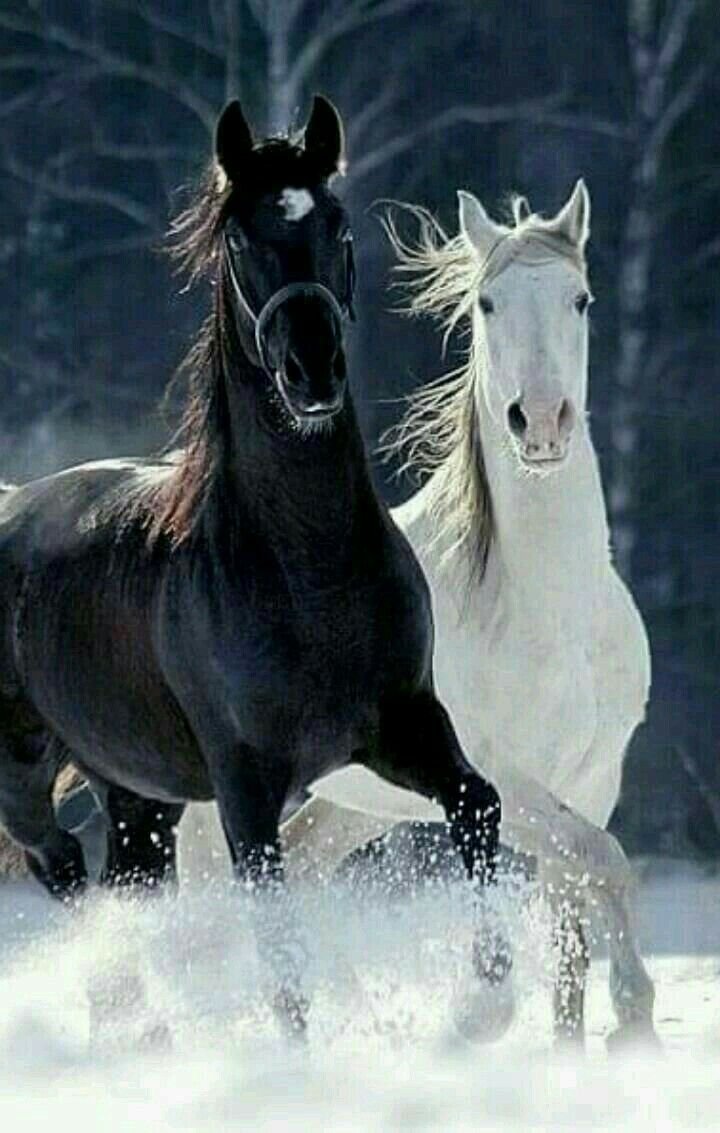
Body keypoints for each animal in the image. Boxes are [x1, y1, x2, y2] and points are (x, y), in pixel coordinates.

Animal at [0, 96, 512, 1036]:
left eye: (338, 224)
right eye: (239, 238)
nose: (312, 370)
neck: (308, 575)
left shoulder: (403, 723)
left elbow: (477, 805)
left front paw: (489, 988)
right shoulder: (245, 784)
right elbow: (278, 941)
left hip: (138, 790)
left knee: (126, 882)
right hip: (23, 775)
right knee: (69, 875)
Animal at [256, 180, 655, 1048]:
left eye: (580, 298)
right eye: (486, 303)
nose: (540, 421)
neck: (548, 610)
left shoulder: (595, 774)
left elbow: (574, 912)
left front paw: (604, 1031)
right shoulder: (501, 775)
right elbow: (600, 859)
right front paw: (491, 1006)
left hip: (346, 807)